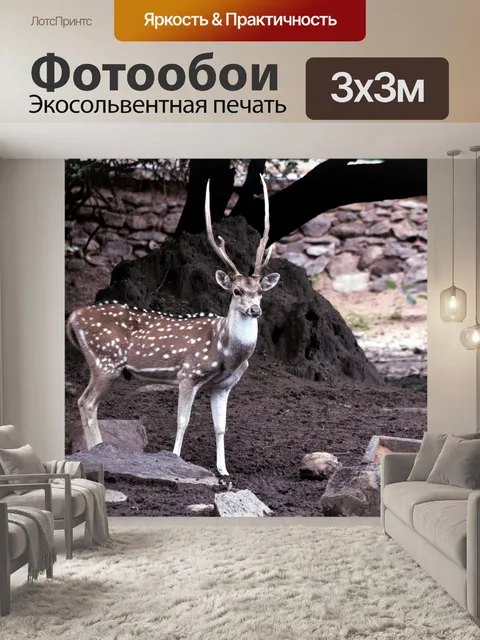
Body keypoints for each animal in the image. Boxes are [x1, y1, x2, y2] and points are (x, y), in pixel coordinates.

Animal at [66, 174, 280, 477]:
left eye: (260, 291)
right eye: (237, 291)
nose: (255, 309)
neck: (227, 352)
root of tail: (73, 317)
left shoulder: (223, 386)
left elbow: (221, 427)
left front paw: (223, 470)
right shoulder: (188, 373)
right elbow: (182, 420)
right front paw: (176, 459)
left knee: (87, 402)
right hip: (105, 360)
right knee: (86, 402)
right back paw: (98, 452)